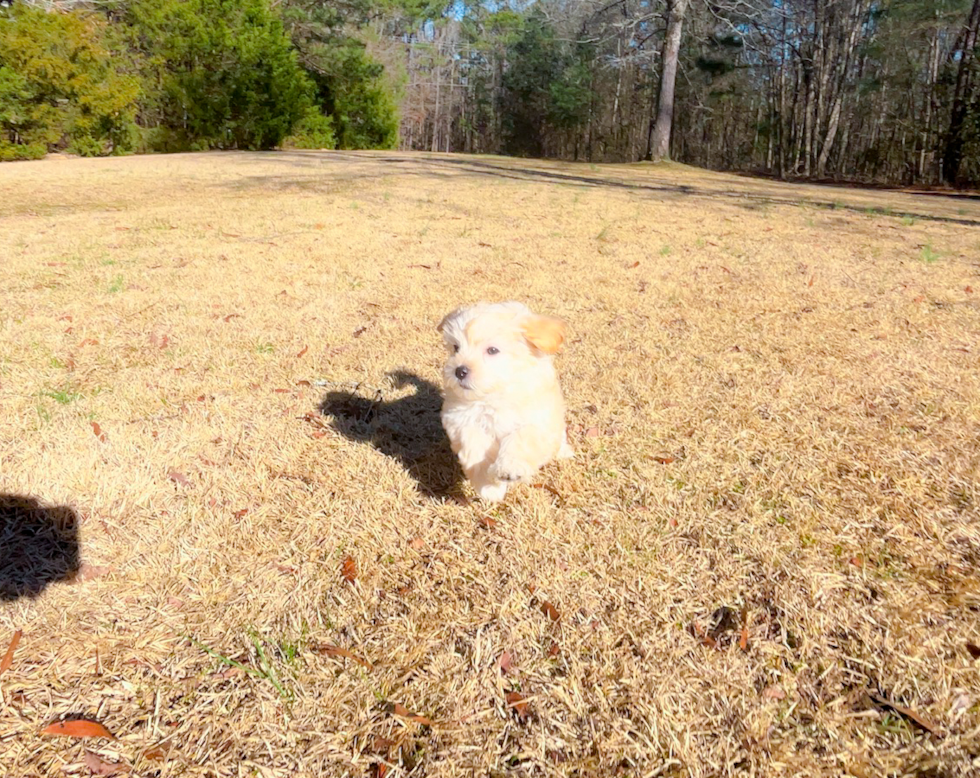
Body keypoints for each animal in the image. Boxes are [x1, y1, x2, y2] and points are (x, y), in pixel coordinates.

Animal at [438, 300, 572, 500]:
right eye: (456, 347)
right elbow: (473, 446)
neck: (495, 395)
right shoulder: (461, 419)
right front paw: (489, 487)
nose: (459, 371)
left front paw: (509, 470)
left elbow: (522, 437)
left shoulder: (538, 421)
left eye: (492, 350)